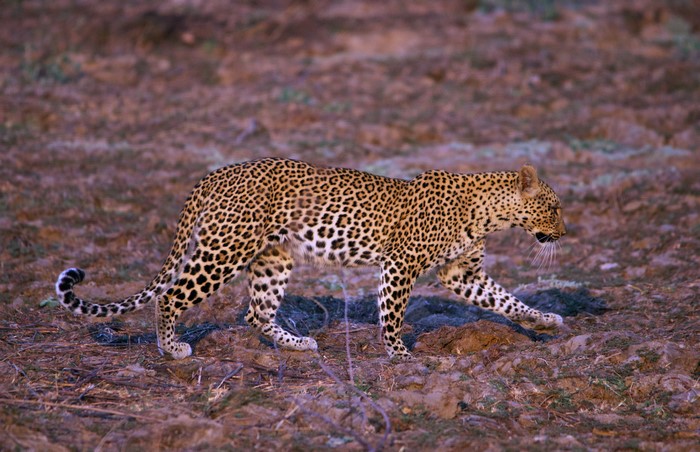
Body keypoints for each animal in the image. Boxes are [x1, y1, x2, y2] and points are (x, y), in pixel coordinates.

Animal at [55, 158, 567, 360]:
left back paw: (297, 344)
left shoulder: (462, 273)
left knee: (255, 313)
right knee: (171, 297)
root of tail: (215, 174)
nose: (565, 232)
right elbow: (393, 315)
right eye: (555, 206)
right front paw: (400, 356)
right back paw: (171, 347)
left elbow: (506, 300)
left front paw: (544, 321)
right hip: (224, 251)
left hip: (272, 259)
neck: (490, 214)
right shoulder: (400, 265)